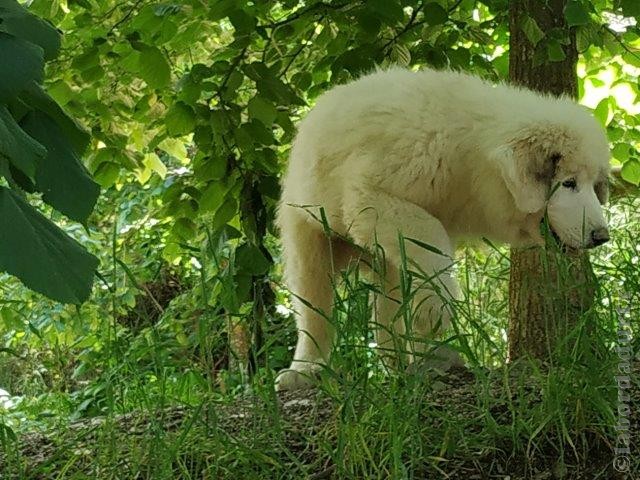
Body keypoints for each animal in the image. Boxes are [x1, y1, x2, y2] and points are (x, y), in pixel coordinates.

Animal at [276, 67, 608, 390]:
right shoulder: (373, 197)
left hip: (385, 265)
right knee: (314, 312)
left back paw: (405, 364)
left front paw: (430, 323)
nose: (601, 237)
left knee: (388, 311)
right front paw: (440, 309)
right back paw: (303, 371)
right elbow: (430, 236)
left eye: (593, 185)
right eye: (569, 183)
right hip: (309, 241)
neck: (470, 153)